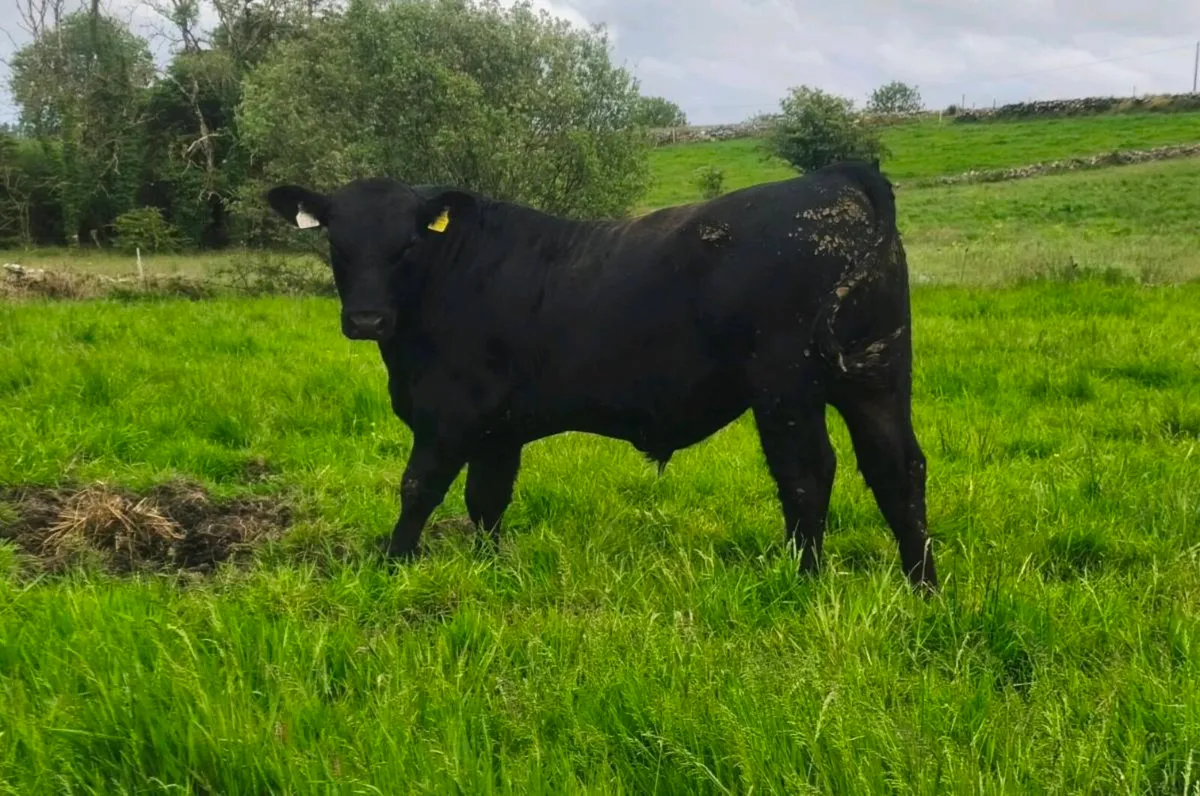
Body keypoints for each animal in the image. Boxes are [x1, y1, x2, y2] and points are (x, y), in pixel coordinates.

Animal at [265, 160, 938, 590]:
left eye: (407, 244)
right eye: (338, 244)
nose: (367, 318)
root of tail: (837, 176)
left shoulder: (449, 416)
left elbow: (418, 489)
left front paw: (392, 569)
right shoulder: (497, 431)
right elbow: (487, 499)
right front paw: (490, 568)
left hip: (786, 389)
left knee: (807, 476)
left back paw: (805, 582)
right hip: (878, 376)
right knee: (897, 468)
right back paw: (922, 587)